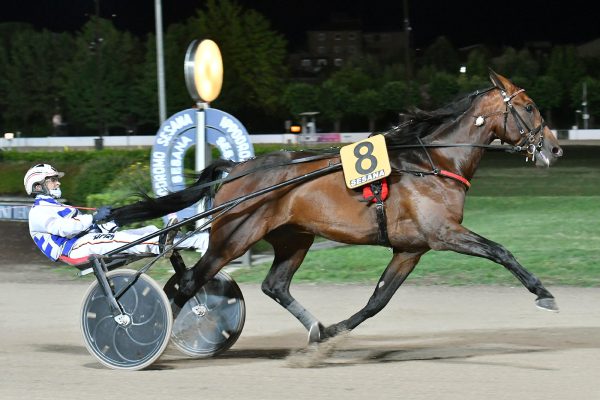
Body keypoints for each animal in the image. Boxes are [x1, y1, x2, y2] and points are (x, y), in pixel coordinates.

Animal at [108, 70, 564, 342]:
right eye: (528, 107)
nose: (555, 148)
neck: (432, 163)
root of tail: (235, 170)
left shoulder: (410, 248)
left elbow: (378, 300)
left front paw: (335, 331)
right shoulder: (443, 233)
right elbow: (501, 251)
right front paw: (543, 293)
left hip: (293, 238)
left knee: (273, 285)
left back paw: (314, 326)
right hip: (233, 239)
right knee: (187, 283)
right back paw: (158, 337)